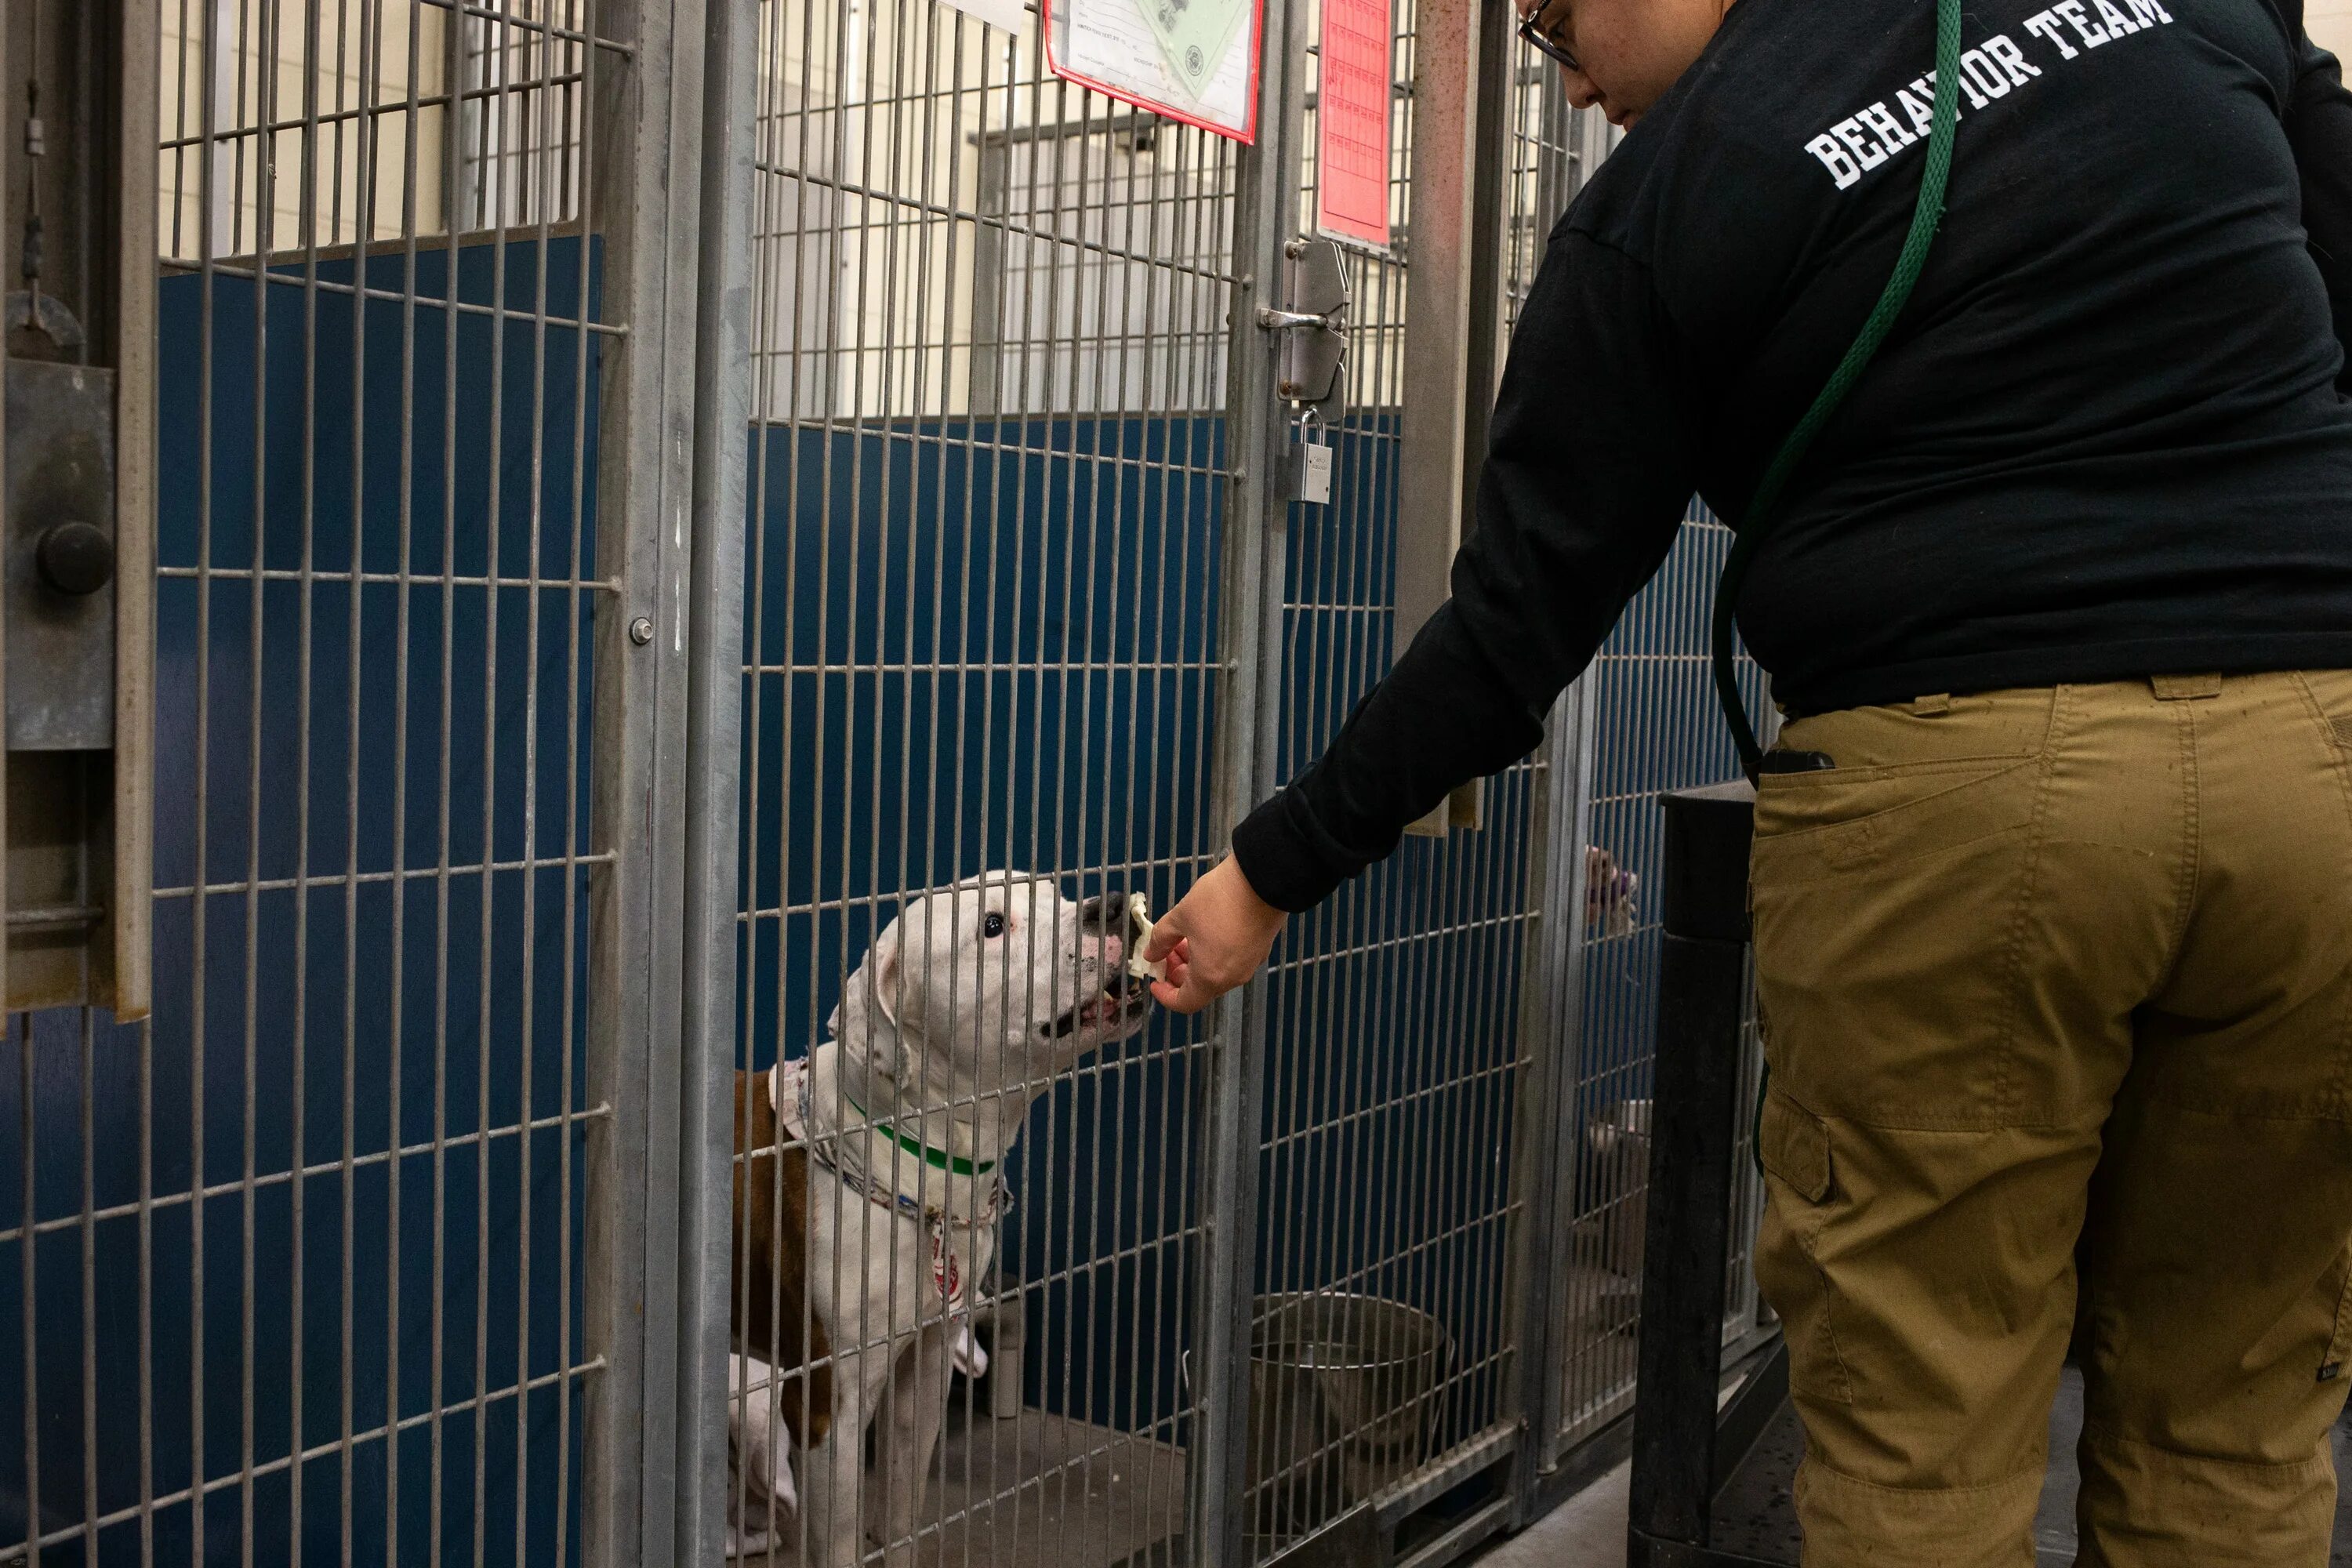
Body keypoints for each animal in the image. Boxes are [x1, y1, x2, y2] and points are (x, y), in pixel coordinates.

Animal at [720, 879, 1152, 1561]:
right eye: (994, 925)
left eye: (1055, 892)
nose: (1109, 906)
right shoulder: (827, 1404)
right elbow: (839, 1541)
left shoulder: (922, 1369)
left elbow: (903, 1512)